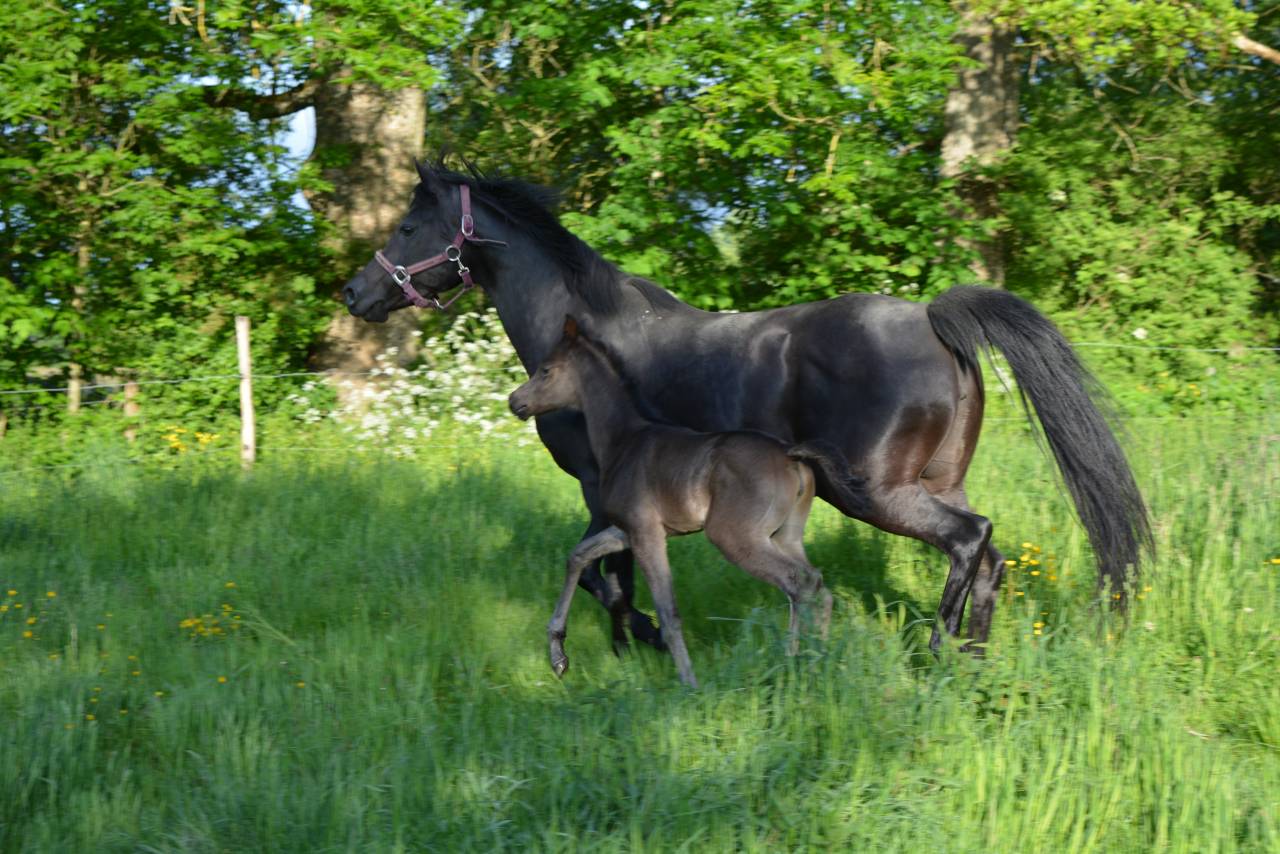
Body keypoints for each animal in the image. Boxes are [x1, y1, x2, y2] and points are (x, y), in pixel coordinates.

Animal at [509, 315, 868, 686]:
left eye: (546, 370)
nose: (514, 401)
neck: (623, 441)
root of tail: (790, 453)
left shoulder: (647, 534)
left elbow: (668, 610)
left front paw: (689, 683)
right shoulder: (628, 530)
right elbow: (578, 556)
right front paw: (558, 656)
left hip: (735, 536)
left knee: (798, 583)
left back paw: (793, 662)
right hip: (786, 536)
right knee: (817, 585)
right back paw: (818, 660)